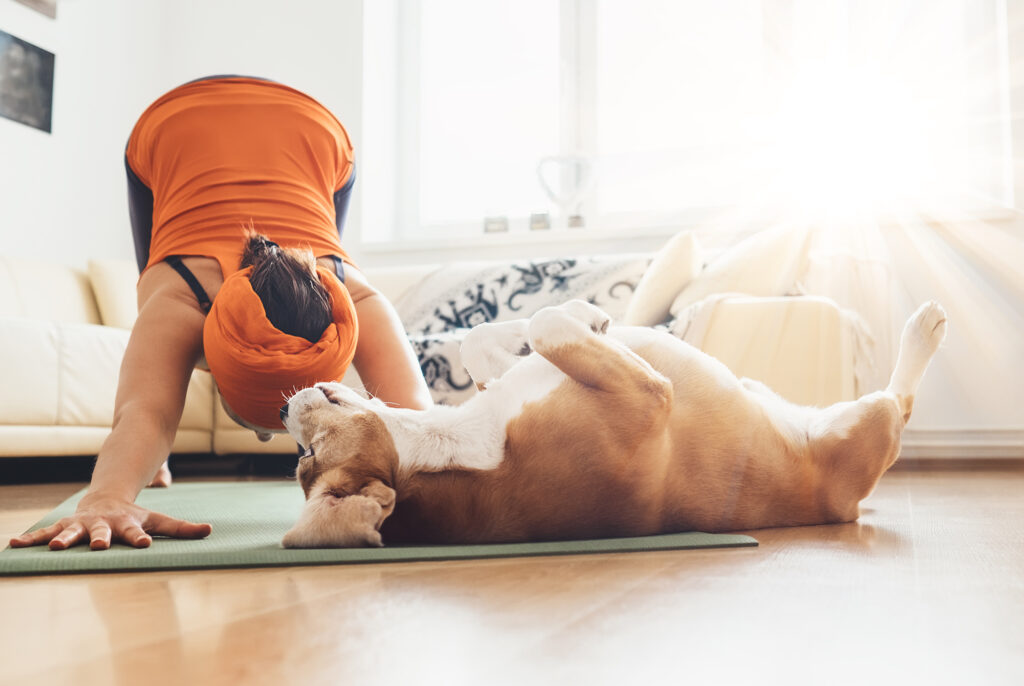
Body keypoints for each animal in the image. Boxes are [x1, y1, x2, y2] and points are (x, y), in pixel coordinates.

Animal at [278, 301, 942, 548]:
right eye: (306, 456)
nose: (282, 410)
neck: (459, 446)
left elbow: (482, 339)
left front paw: (580, 315)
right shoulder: (649, 397)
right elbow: (545, 324)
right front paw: (584, 310)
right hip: (868, 424)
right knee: (901, 402)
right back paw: (923, 330)